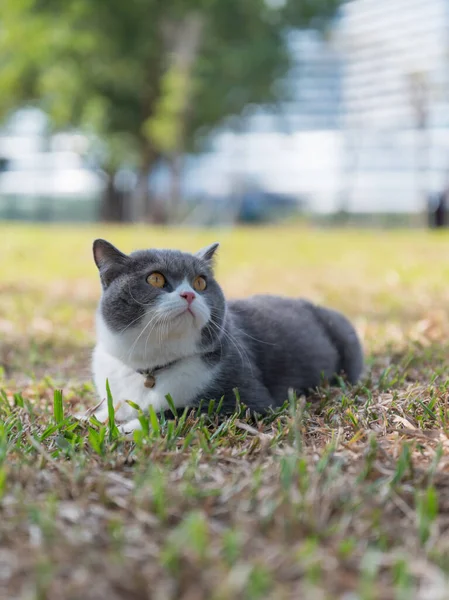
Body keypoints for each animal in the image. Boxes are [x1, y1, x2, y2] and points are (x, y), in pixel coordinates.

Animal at [92, 239, 364, 432]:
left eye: (201, 282)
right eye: (155, 278)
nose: (189, 294)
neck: (153, 369)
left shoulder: (246, 400)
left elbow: (183, 412)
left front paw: (128, 427)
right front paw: (95, 417)